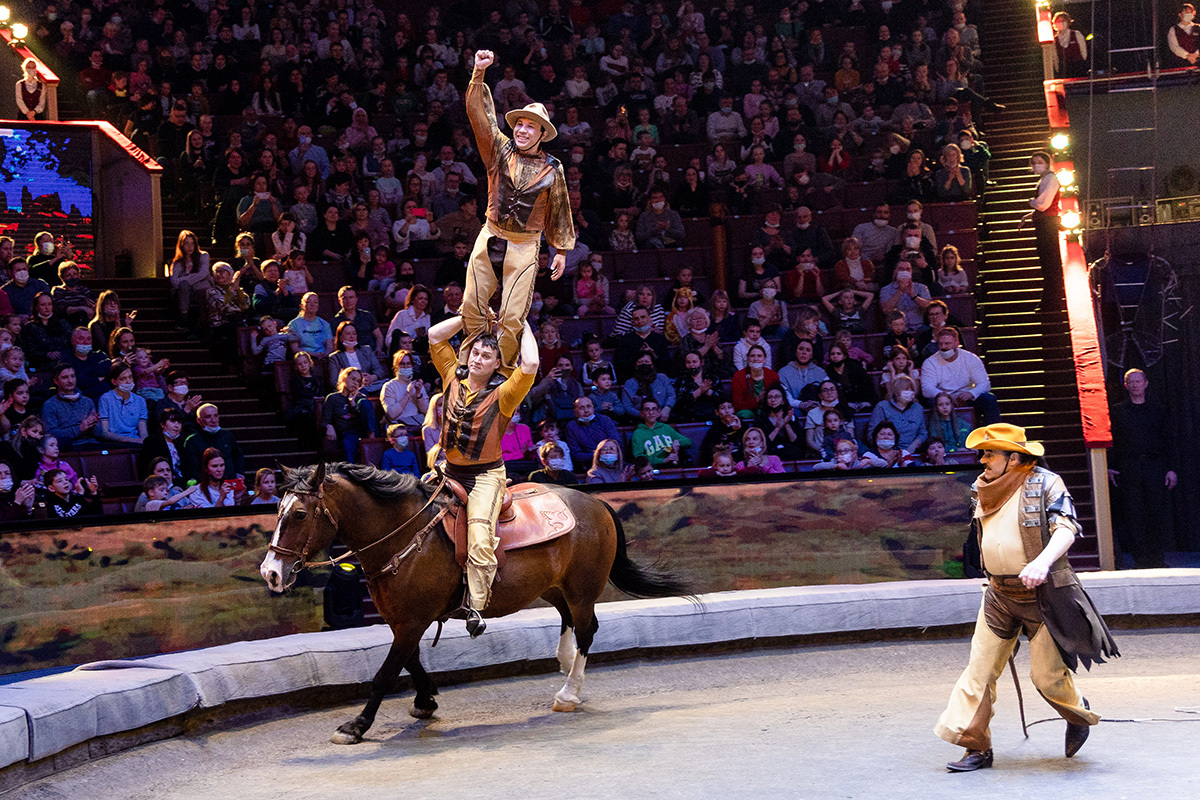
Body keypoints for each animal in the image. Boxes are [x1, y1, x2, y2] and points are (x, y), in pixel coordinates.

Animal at [259, 460, 686, 748]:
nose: (271, 572)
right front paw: (425, 699)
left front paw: (356, 725)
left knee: (586, 630)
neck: (404, 534)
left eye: (299, 513)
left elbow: (385, 673)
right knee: (568, 621)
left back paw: (568, 692)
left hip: (582, 588)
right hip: (552, 586)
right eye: (277, 511)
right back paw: (566, 667)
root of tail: (595, 503)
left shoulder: (412, 620)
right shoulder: (403, 619)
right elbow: (410, 661)